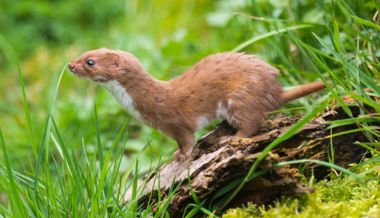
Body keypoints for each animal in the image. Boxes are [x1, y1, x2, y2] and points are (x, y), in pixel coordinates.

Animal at [68, 48, 324, 161]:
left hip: (241, 97)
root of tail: (276, 91)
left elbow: (187, 139)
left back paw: (231, 137)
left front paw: (181, 155)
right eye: (84, 52)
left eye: (90, 61)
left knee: (251, 123)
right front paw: (176, 153)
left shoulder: (175, 122)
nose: (70, 65)